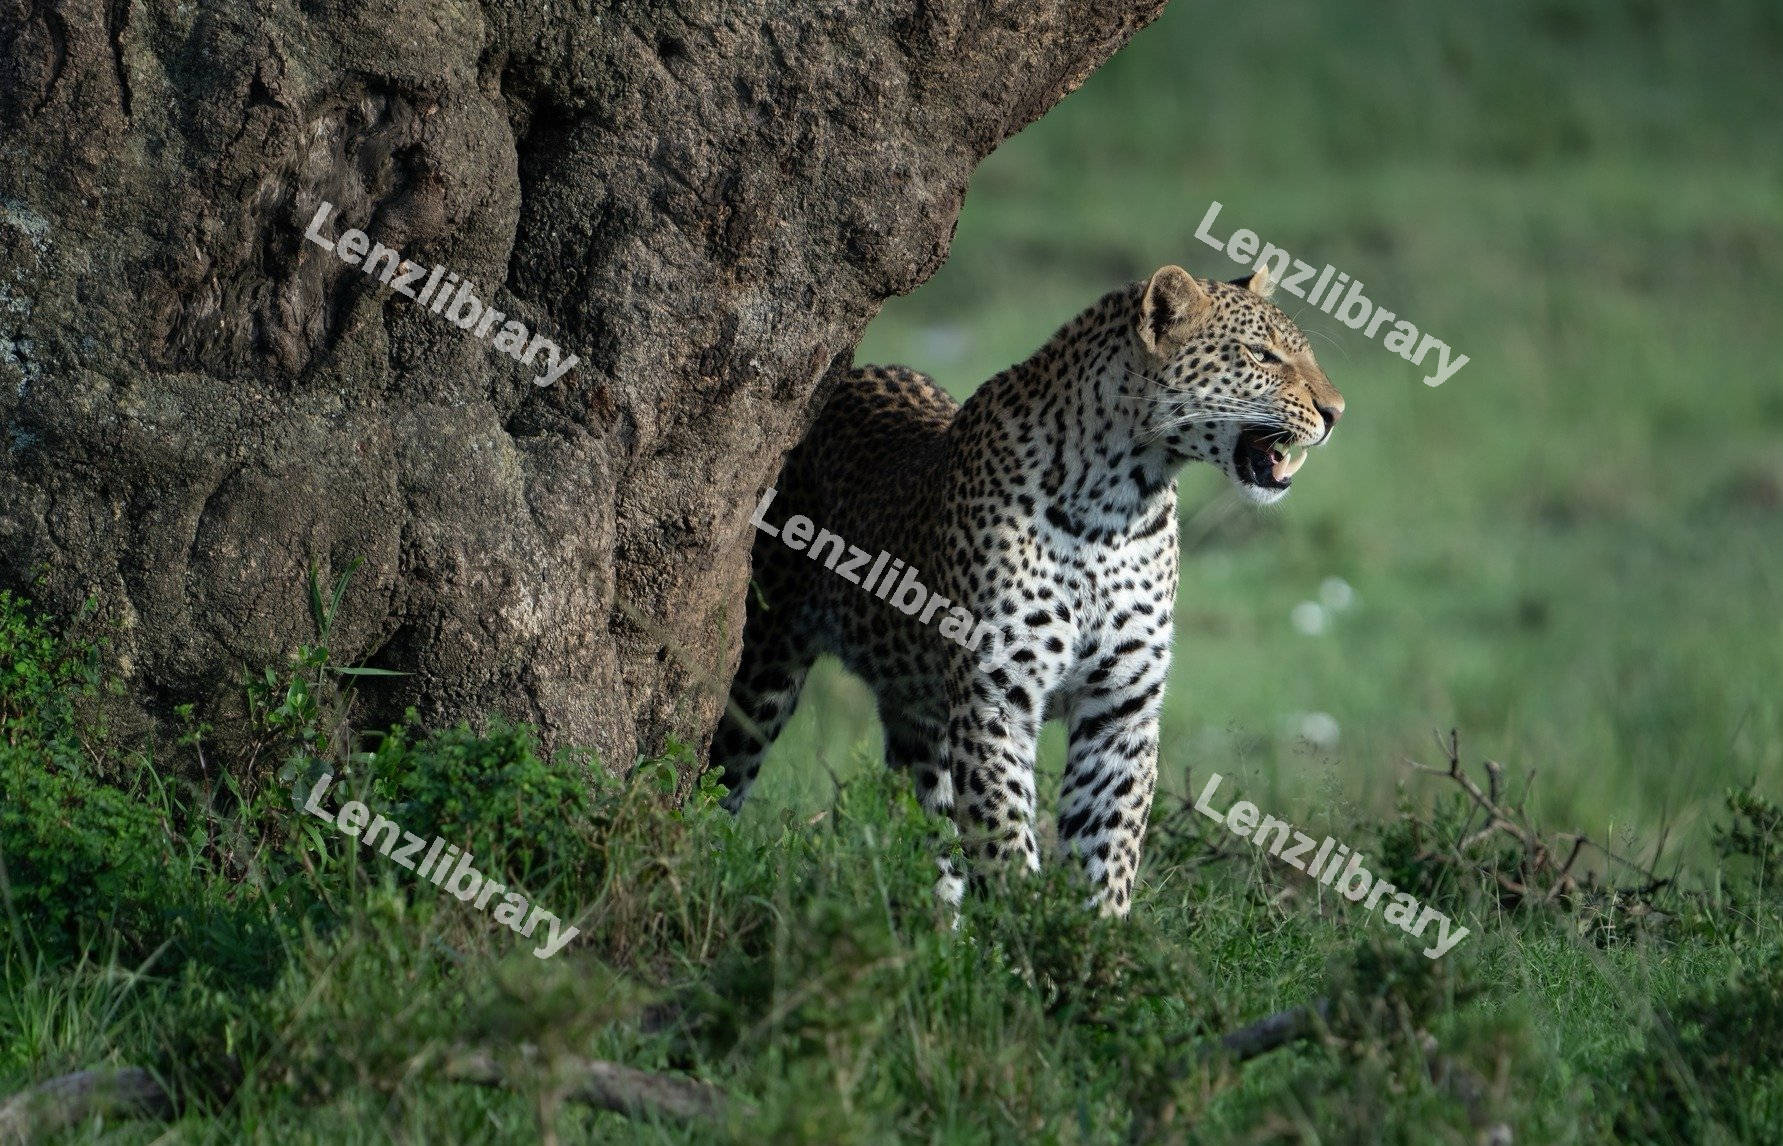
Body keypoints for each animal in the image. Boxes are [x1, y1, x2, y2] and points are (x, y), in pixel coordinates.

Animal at [708, 264, 1344, 916]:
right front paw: (1024, 928)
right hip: (762, 669)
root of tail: (850, 374)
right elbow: (1005, 834)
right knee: (721, 777)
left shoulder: (1122, 709)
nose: (1336, 412)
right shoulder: (997, 698)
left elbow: (1107, 845)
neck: (1118, 505)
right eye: (1262, 355)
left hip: (921, 716)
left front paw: (1095, 937)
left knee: (931, 828)